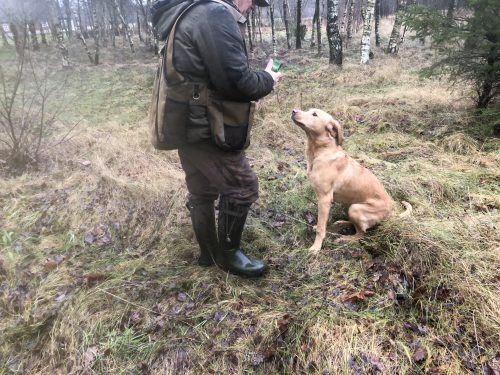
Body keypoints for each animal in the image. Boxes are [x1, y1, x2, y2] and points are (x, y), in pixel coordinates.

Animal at [292, 107, 412, 251]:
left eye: (314, 114)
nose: (293, 111)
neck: (321, 151)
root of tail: (390, 213)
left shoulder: (324, 198)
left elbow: (321, 227)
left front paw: (316, 247)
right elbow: (322, 222)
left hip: (355, 208)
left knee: (361, 233)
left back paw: (345, 238)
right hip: (347, 204)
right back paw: (342, 222)